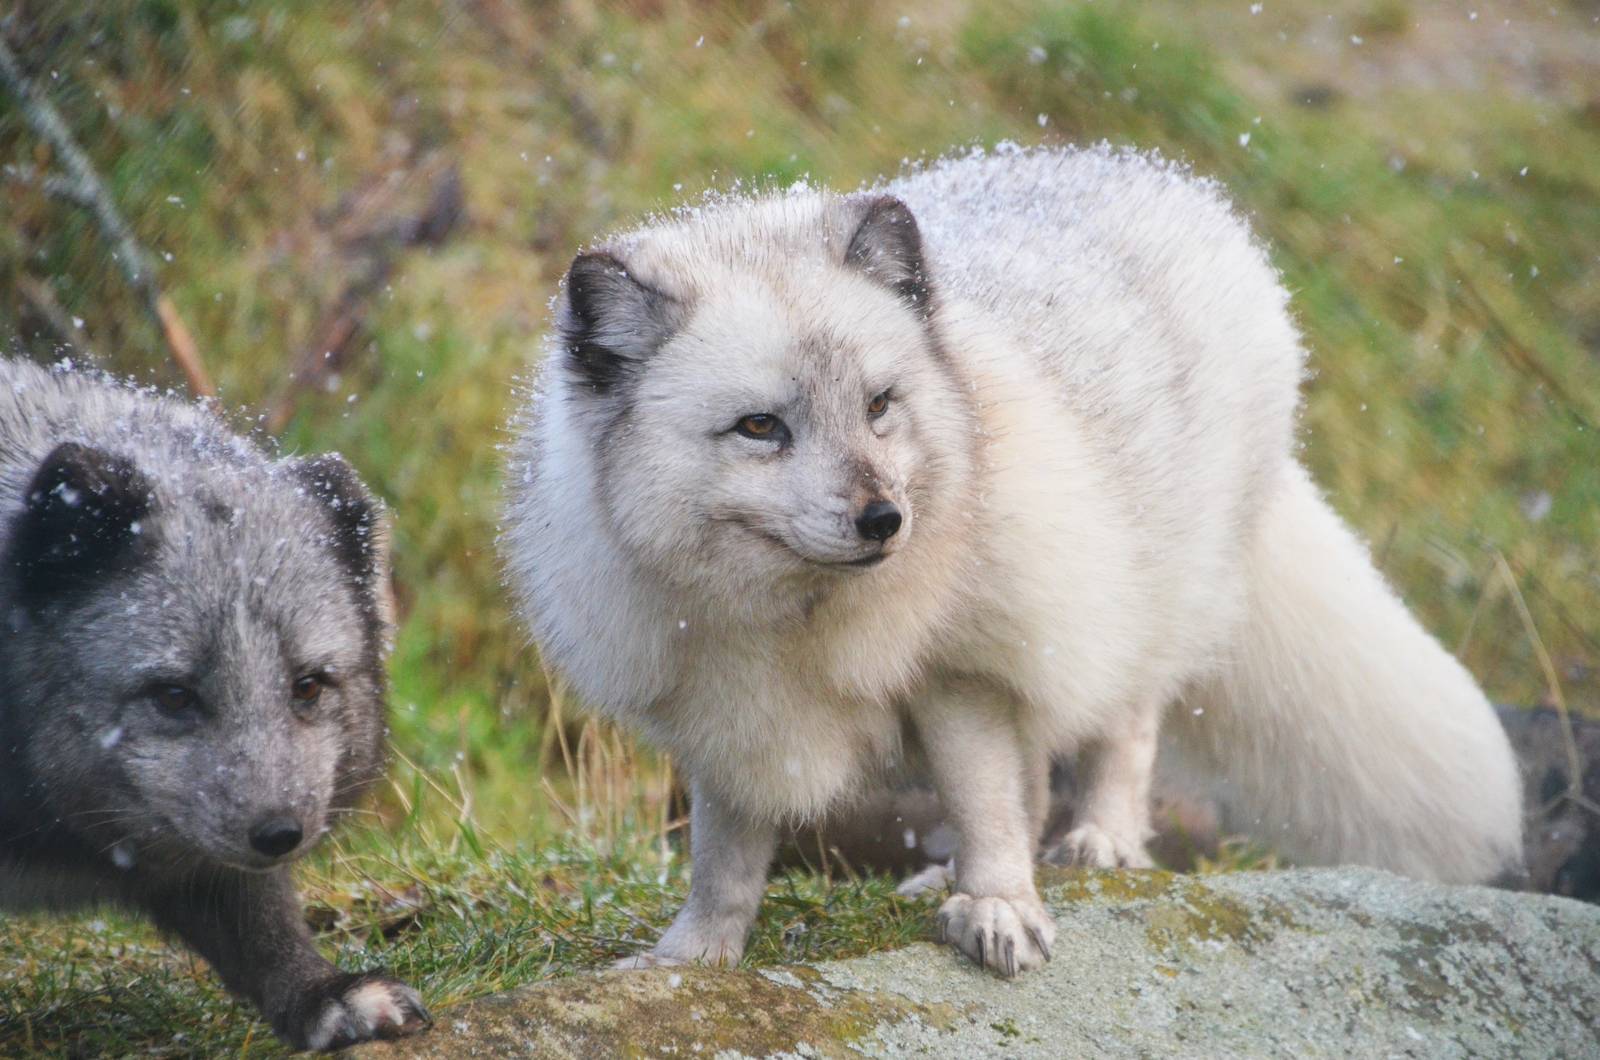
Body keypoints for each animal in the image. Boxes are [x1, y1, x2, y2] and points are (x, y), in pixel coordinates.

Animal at [503, 144, 1524, 977]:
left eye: (880, 405)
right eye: (759, 427)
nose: (886, 520)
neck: (803, 627)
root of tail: (1154, 176)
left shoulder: (963, 669)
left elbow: (986, 796)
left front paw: (998, 904)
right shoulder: (728, 711)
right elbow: (724, 853)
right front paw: (693, 956)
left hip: (1131, 602)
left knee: (1124, 732)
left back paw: (1097, 843)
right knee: (1036, 777)